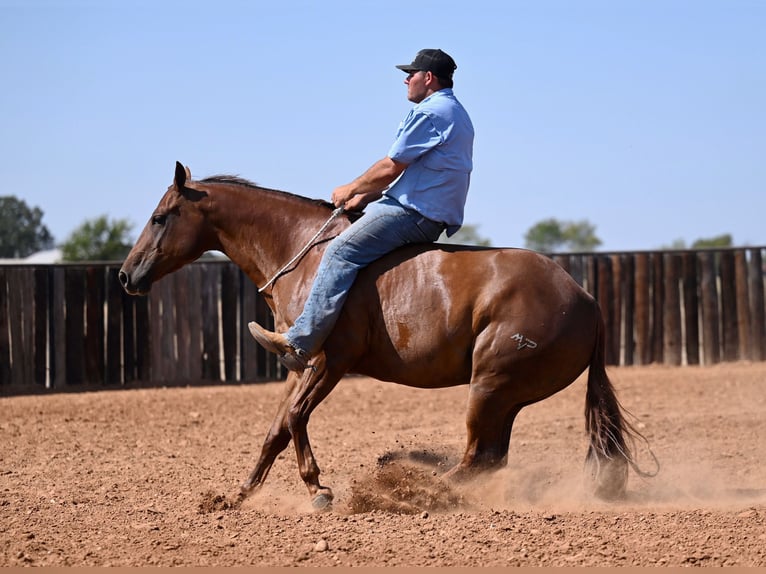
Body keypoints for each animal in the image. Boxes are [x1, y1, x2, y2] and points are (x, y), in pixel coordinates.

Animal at [120, 163, 656, 512]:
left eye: (160, 217)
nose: (127, 274)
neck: (308, 255)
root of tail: (585, 298)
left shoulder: (329, 362)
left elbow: (295, 418)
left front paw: (318, 490)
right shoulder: (301, 364)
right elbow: (276, 430)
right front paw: (237, 495)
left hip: (490, 386)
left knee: (474, 458)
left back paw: (413, 485)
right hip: (506, 397)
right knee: (489, 460)